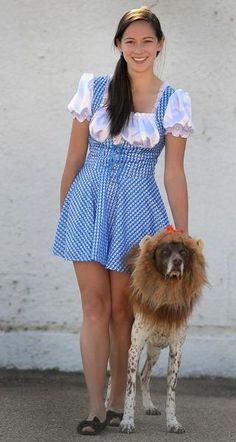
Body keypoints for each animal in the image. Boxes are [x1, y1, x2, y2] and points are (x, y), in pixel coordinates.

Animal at [119, 226, 207, 434]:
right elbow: (129, 389)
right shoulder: (134, 348)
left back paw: (149, 406)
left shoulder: (176, 351)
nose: (177, 262)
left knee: (144, 375)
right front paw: (127, 421)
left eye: (183, 252)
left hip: (155, 350)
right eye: (165, 251)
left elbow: (171, 393)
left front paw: (173, 422)